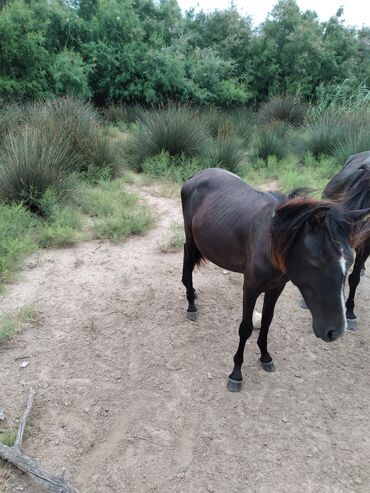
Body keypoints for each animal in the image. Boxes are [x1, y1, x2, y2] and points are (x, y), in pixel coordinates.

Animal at [181, 167, 368, 390]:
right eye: (316, 263)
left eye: (350, 261)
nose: (336, 331)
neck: (269, 240)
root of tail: (196, 176)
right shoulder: (250, 288)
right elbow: (245, 328)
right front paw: (236, 373)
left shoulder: (276, 288)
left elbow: (267, 321)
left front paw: (265, 356)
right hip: (191, 239)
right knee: (187, 263)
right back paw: (191, 304)